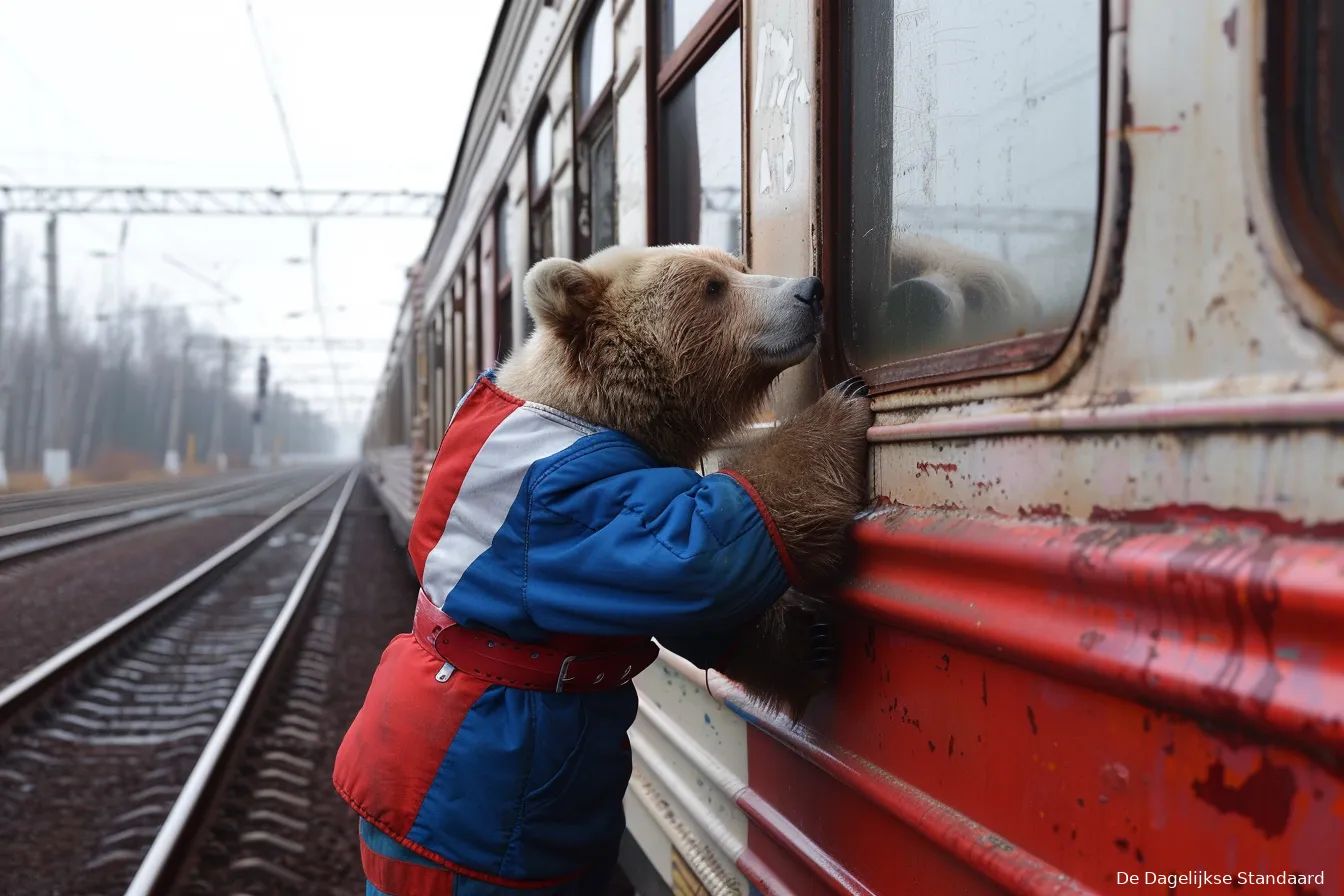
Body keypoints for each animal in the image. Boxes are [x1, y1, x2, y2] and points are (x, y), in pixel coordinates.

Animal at [336, 241, 870, 891]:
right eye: (712, 287)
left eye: (738, 268)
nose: (809, 290)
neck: (596, 405)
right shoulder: (566, 499)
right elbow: (685, 557)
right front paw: (840, 409)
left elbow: (692, 612)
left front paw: (807, 646)